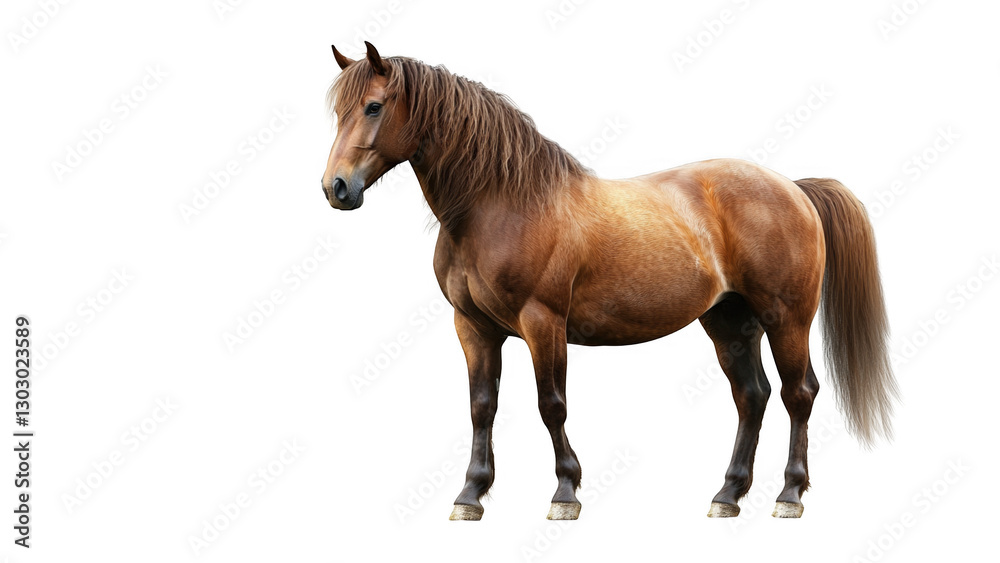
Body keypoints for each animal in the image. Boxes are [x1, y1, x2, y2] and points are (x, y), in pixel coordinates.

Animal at [322, 42, 898, 521]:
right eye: (337, 111)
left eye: (374, 107)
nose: (336, 187)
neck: (501, 204)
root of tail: (794, 188)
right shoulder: (473, 328)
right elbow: (482, 406)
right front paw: (470, 495)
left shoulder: (543, 323)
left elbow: (551, 404)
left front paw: (565, 493)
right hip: (730, 322)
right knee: (751, 396)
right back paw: (727, 495)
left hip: (786, 319)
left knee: (798, 394)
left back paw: (790, 494)